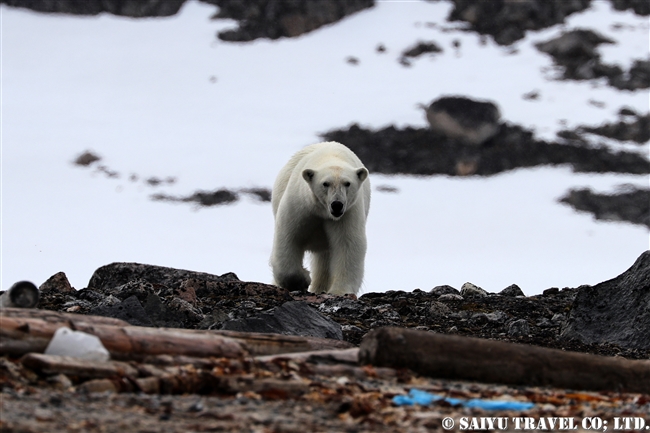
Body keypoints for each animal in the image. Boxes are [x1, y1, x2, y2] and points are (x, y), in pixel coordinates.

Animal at [270, 141, 370, 294]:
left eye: (347, 183)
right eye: (325, 183)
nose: (337, 205)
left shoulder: (348, 213)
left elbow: (348, 244)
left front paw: (339, 291)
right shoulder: (300, 204)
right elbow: (289, 236)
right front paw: (303, 280)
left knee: (324, 260)